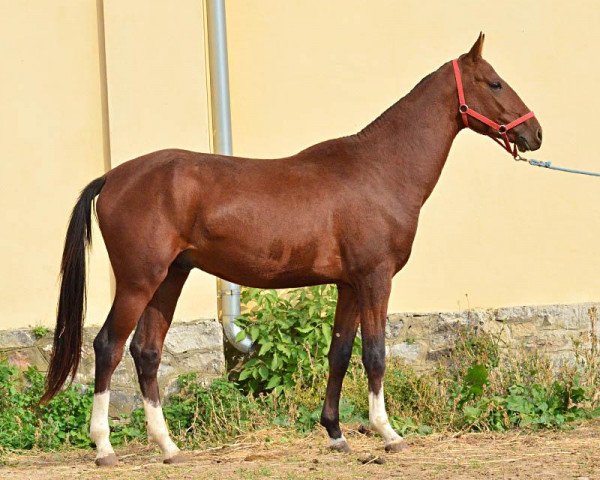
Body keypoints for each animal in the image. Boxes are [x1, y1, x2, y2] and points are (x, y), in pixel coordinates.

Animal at [39, 34, 540, 464]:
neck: (380, 169)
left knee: (146, 351)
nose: (534, 133)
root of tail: (113, 177)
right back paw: (104, 447)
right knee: (108, 346)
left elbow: (340, 354)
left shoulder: (349, 285)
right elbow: (375, 353)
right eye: (494, 82)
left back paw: (168, 446)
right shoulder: (375, 278)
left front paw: (335, 433)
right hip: (138, 280)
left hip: (170, 278)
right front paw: (388, 433)